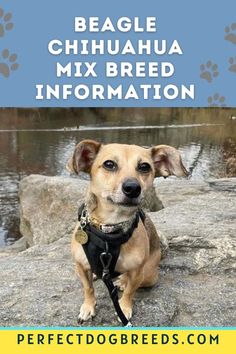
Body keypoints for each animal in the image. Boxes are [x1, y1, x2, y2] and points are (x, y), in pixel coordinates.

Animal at [67, 140, 188, 324]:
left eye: (144, 167)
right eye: (109, 164)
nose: (132, 187)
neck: (109, 230)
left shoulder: (137, 271)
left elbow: (130, 291)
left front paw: (124, 308)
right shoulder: (80, 266)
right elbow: (88, 288)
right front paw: (88, 307)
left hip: (149, 275)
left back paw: (122, 281)